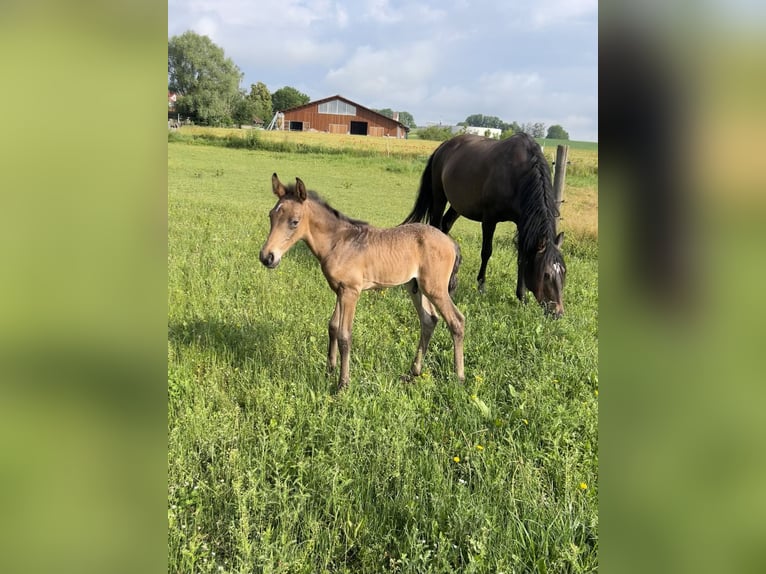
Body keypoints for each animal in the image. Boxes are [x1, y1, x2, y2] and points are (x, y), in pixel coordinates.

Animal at [260, 176, 468, 392]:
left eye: (294, 221)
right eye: (271, 216)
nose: (267, 257)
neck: (338, 242)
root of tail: (451, 243)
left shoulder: (351, 292)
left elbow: (344, 335)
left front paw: (342, 384)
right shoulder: (339, 290)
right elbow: (332, 326)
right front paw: (329, 370)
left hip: (435, 288)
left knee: (456, 321)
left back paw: (459, 378)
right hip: (415, 287)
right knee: (429, 320)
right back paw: (413, 372)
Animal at [404, 133, 568, 318]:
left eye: (564, 272)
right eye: (546, 275)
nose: (558, 313)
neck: (517, 174)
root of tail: (444, 146)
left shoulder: (522, 222)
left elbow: (522, 257)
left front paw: (522, 296)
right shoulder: (489, 219)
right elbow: (486, 252)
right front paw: (481, 286)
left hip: (458, 205)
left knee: (445, 225)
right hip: (439, 197)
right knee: (436, 225)